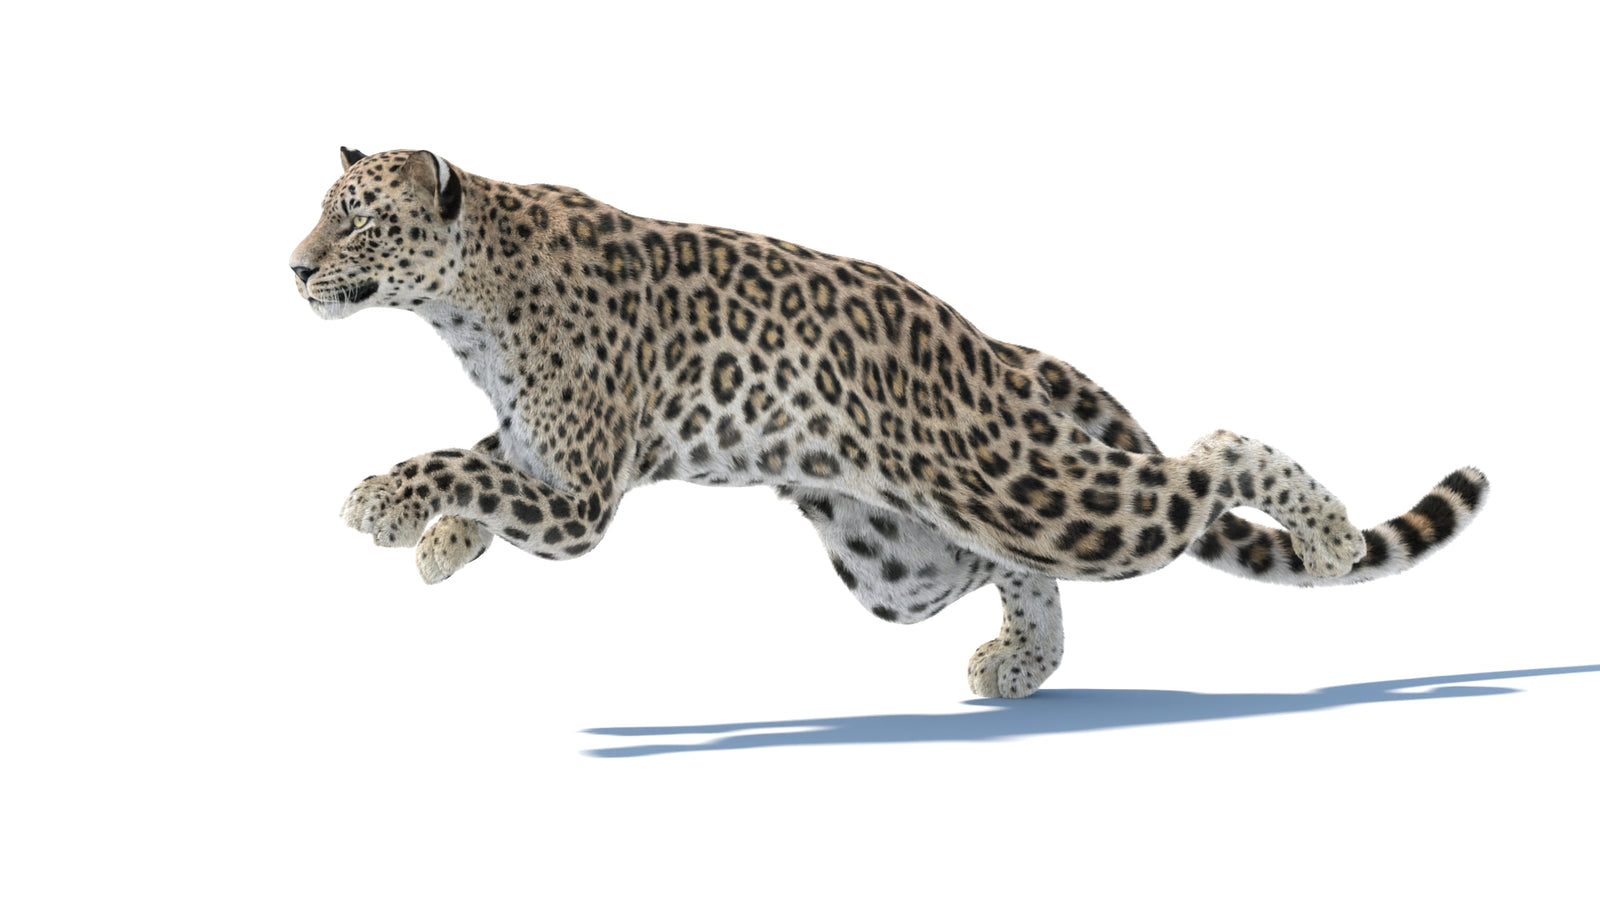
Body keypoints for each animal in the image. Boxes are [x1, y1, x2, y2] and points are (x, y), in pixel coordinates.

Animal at [290, 147, 1488, 698]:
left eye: (355, 220)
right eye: (321, 214)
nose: (293, 267)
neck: (462, 304)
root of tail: (990, 345)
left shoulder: (582, 496)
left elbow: (460, 461)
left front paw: (384, 504)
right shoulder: (543, 452)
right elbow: (478, 458)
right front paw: (436, 540)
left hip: (1030, 491)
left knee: (1209, 461)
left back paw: (1326, 535)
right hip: (898, 558)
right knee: (1003, 567)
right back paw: (1017, 665)